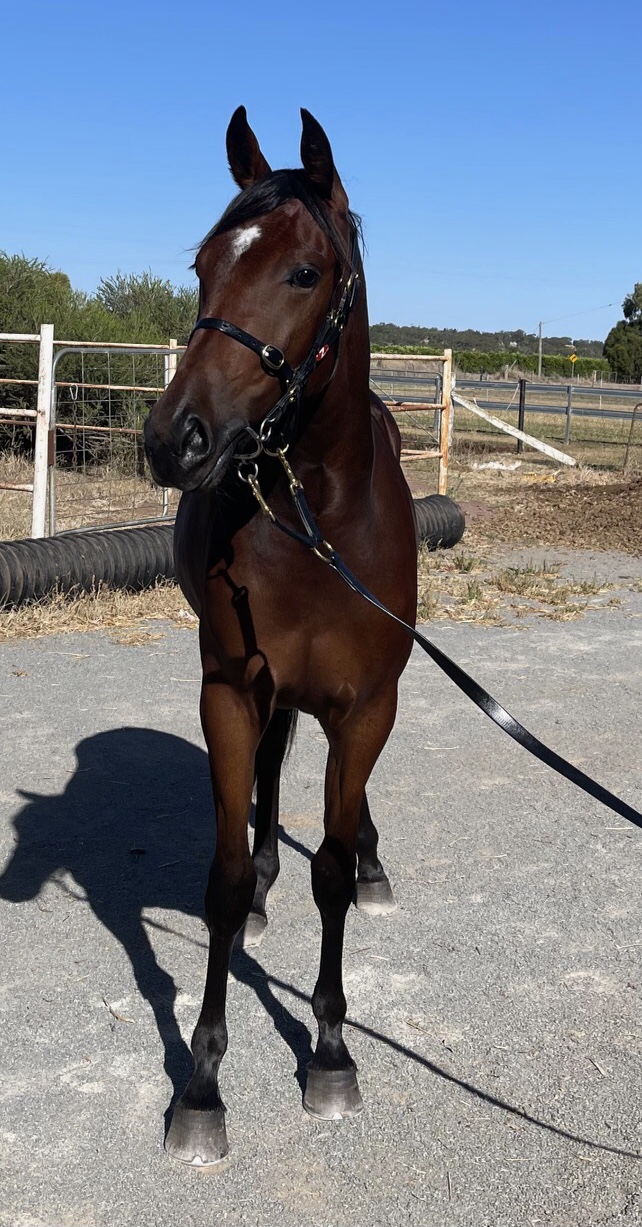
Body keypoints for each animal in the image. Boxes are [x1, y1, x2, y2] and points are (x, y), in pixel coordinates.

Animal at [143, 106, 418, 1167]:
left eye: (304, 273)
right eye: (202, 264)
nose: (174, 439)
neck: (316, 518)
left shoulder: (368, 704)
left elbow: (331, 873)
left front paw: (331, 1052)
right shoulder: (231, 689)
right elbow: (221, 881)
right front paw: (202, 1084)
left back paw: (372, 859)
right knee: (265, 779)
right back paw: (266, 878)